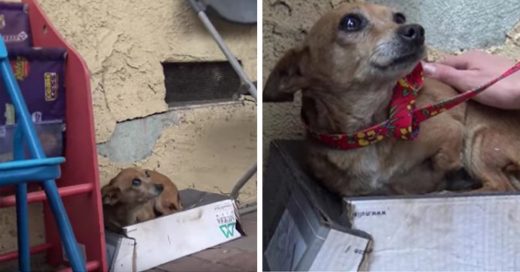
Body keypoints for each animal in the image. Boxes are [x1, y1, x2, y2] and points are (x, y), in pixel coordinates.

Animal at [264, 3, 520, 197]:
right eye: (350, 22)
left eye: (399, 17)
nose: (416, 30)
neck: (369, 131)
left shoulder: (451, 128)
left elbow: (445, 158)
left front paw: (448, 175)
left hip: (480, 139)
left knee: (500, 186)